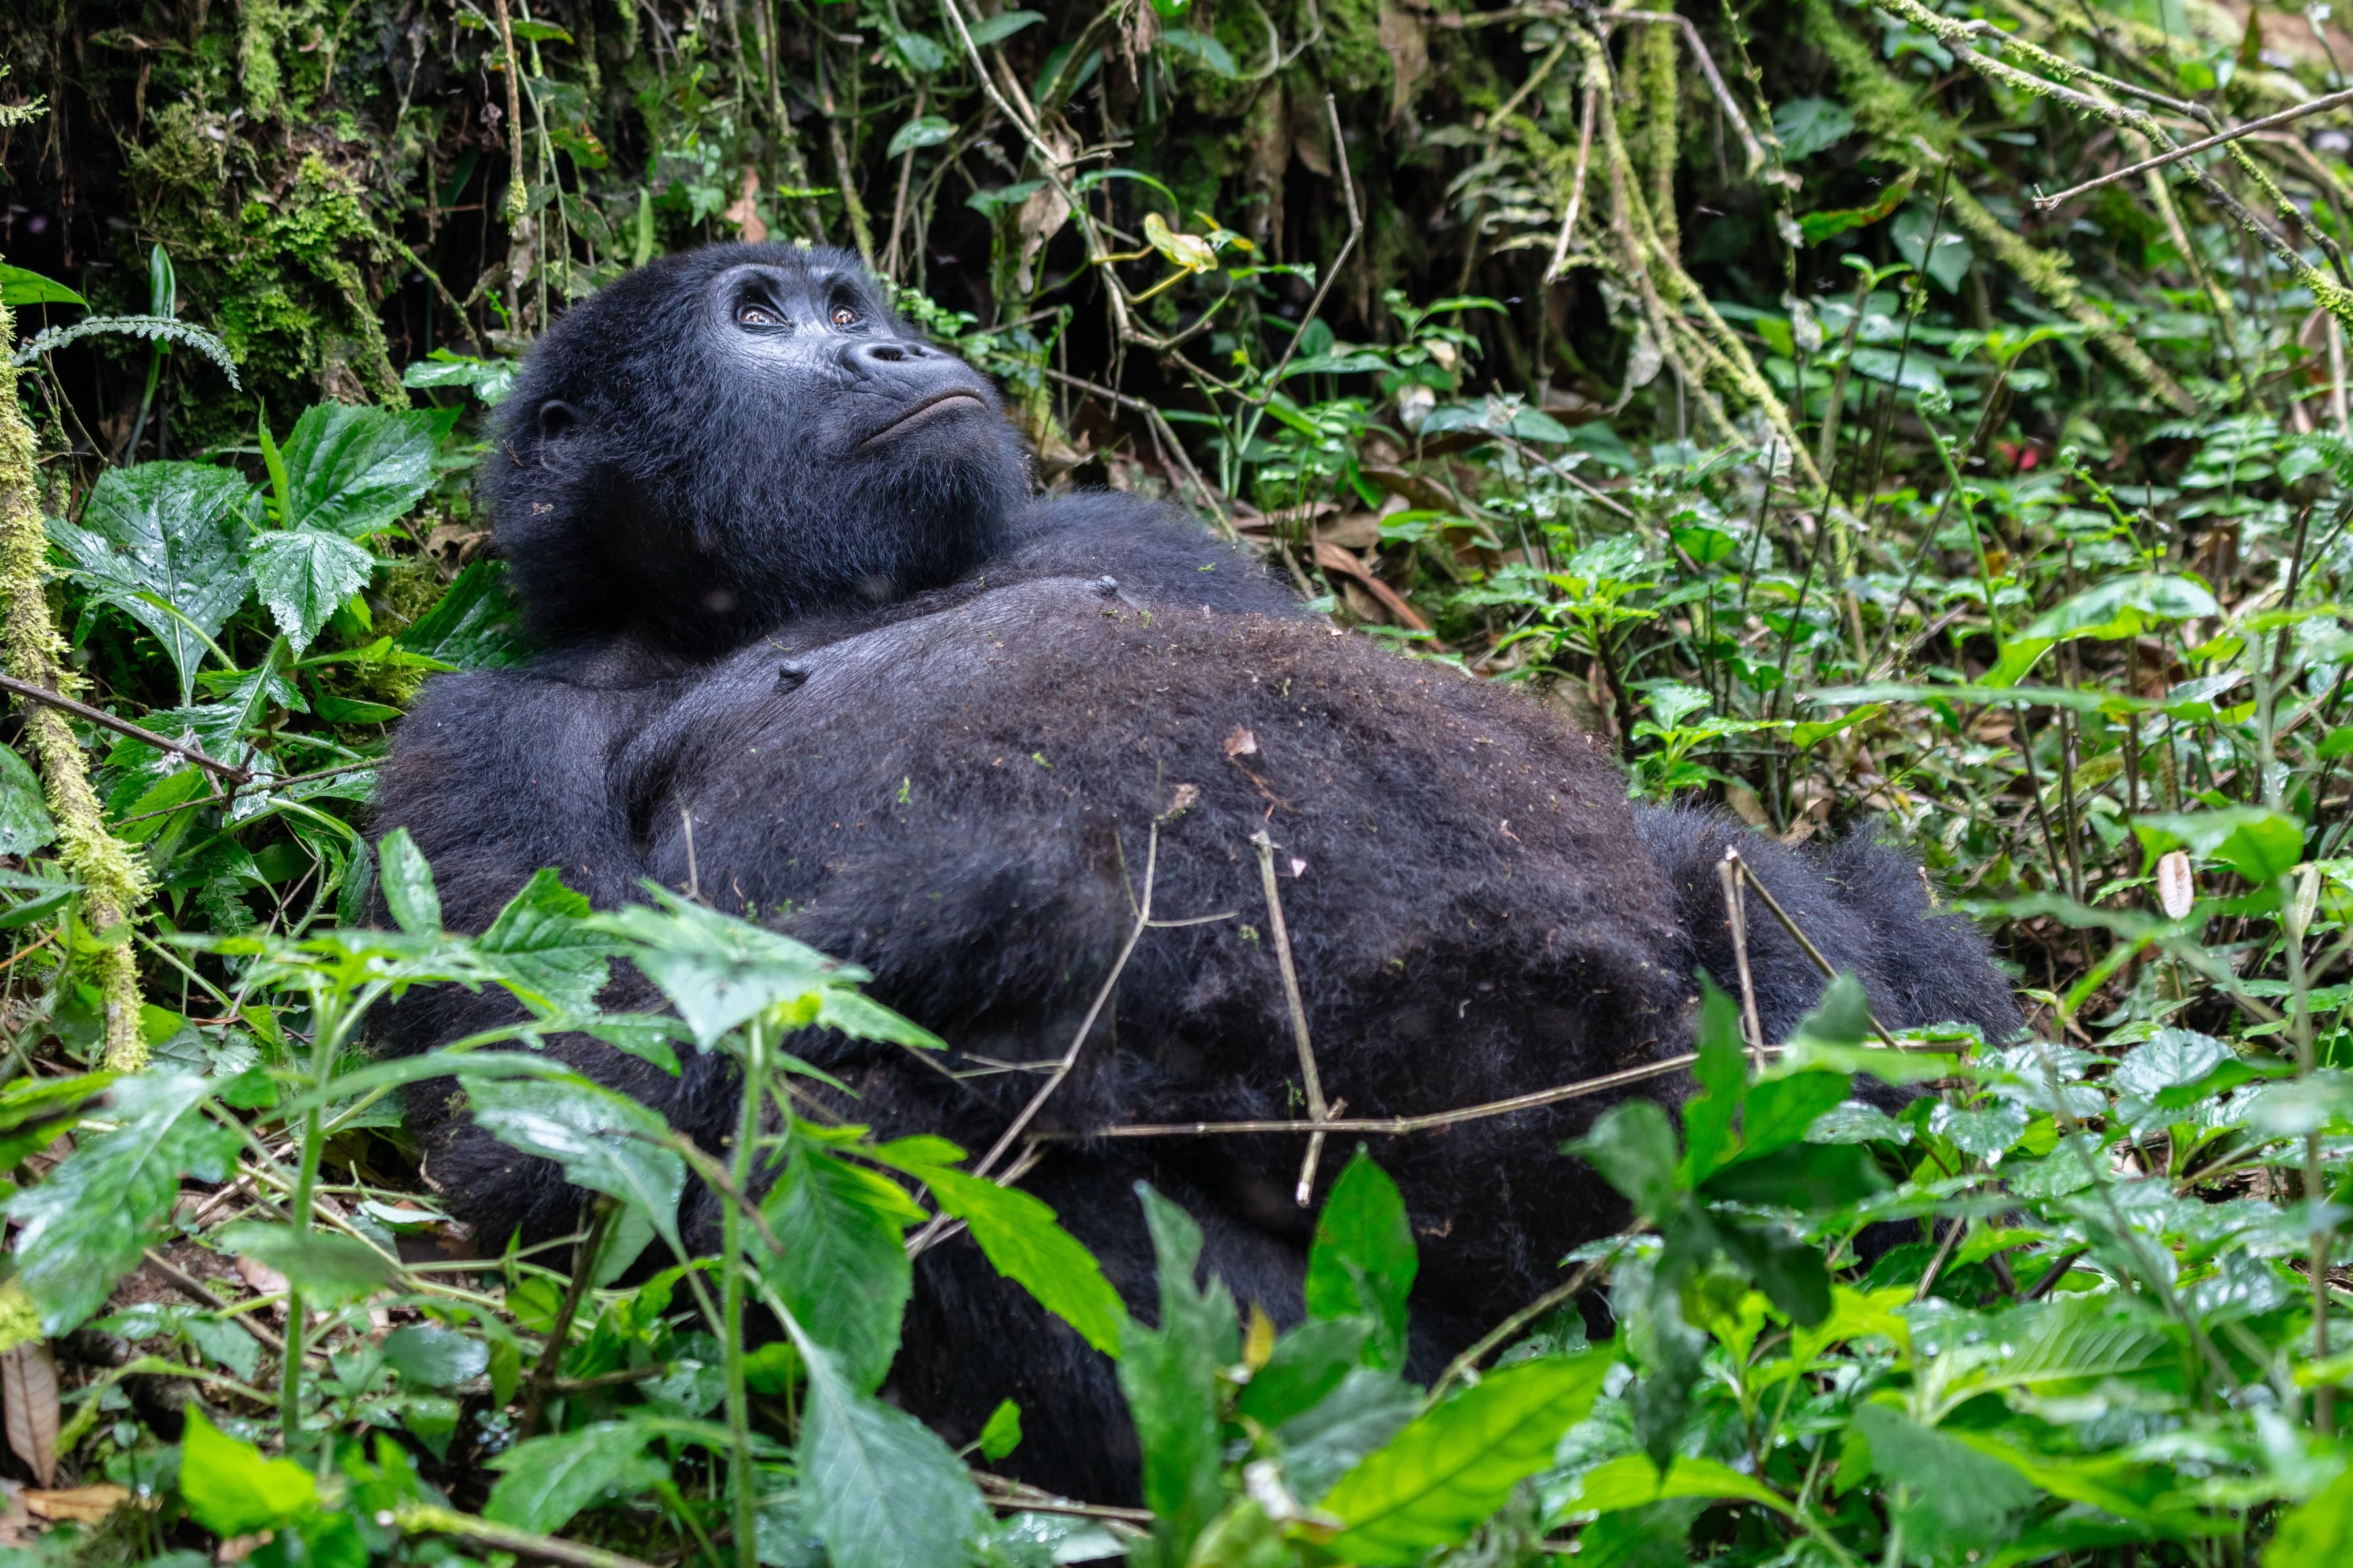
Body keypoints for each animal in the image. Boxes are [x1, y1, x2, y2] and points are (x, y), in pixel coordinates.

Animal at [372, 243, 2018, 1500]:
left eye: (854, 301)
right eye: (763, 317)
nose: (900, 343)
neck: (767, 603)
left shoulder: (1134, 531)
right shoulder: (477, 739)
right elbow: (553, 1121)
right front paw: (991, 905)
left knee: (1713, 877)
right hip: (1409, 1298)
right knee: (848, 1122)